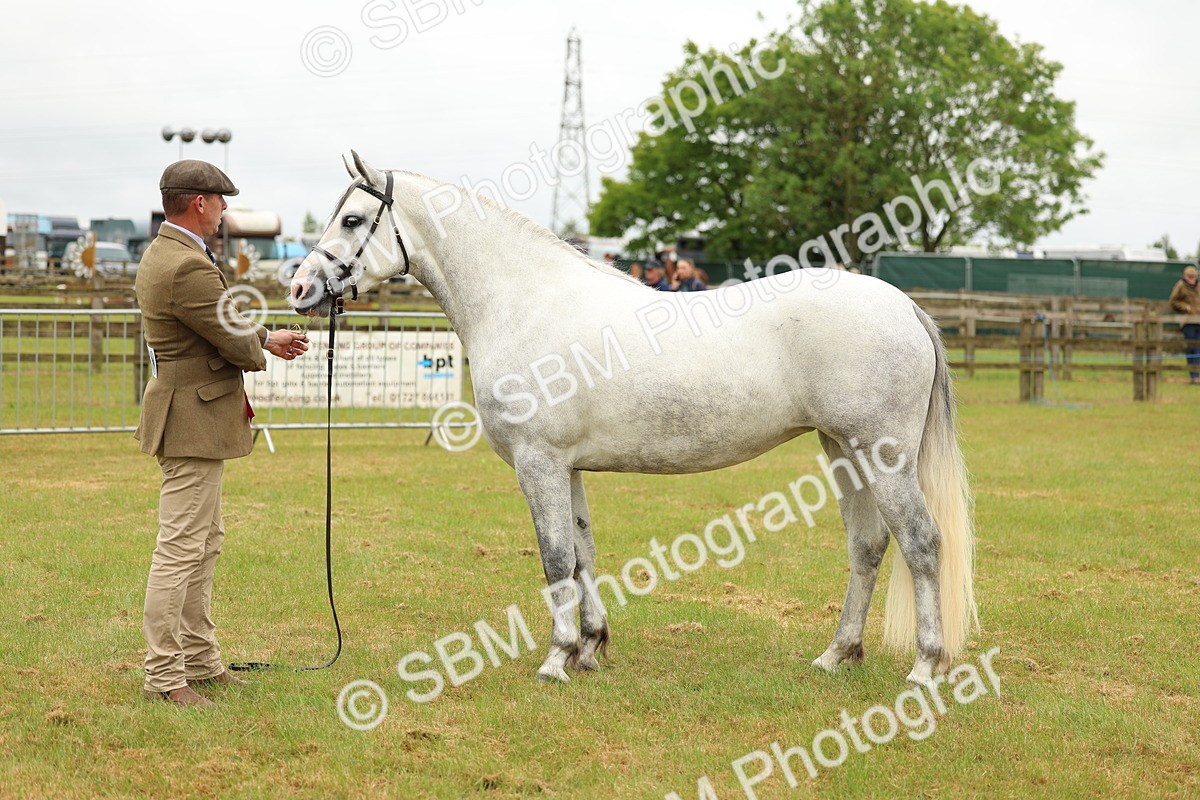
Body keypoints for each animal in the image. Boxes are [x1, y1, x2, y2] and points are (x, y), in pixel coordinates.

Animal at [289, 152, 978, 686]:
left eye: (352, 219)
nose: (300, 289)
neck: (526, 301)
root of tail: (903, 306)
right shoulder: (566, 467)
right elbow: (583, 553)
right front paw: (591, 647)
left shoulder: (539, 462)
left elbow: (554, 558)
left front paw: (556, 659)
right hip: (844, 451)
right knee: (868, 546)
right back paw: (837, 654)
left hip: (882, 456)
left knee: (922, 543)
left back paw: (926, 665)